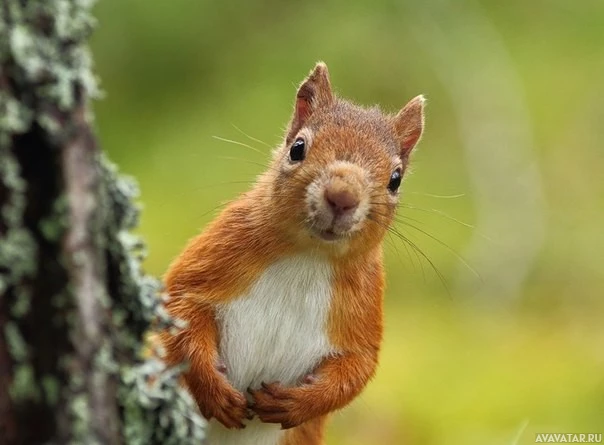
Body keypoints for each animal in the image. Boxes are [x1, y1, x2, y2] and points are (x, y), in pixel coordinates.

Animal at [160, 63, 424, 444]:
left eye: (396, 179)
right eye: (297, 148)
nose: (342, 196)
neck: (308, 257)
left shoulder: (364, 303)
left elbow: (358, 366)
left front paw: (297, 403)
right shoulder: (219, 251)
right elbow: (180, 304)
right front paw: (214, 390)